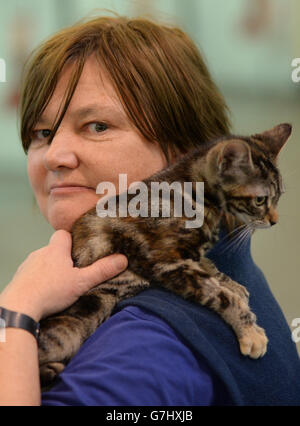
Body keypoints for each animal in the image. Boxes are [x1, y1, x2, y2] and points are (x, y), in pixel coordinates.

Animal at [37, 122, 290, 386]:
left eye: (279, 197)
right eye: (260, 200)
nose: (274, 220)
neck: (193, 195)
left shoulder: (186, 256)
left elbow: (208, 265)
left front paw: (232, 284)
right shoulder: (165, 261)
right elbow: (217, 294)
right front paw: (249, 330)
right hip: (69, 329)